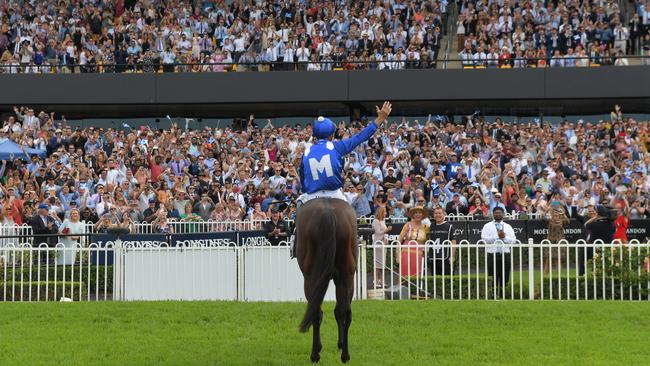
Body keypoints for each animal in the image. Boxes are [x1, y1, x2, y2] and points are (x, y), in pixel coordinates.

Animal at [296, 199, 356, 362]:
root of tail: (328, 211)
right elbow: (338, 310)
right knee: (345, 312)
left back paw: (315, 355)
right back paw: (345, 355)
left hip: (310, 279)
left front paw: (319, 347)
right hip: (347, 276)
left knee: (316, 311)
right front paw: (340, 344)